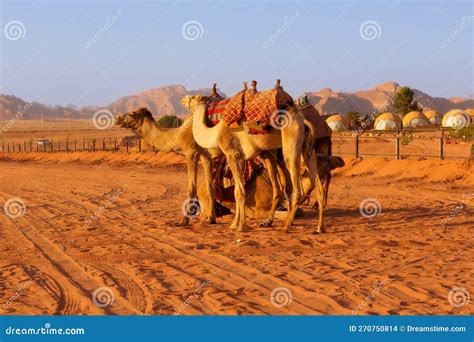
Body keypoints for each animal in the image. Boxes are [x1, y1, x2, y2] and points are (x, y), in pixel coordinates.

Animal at [180, 92, 324, 234]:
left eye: (192, 97)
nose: (183, 99)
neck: (216, 132)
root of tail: (303, 121)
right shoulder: (241, 158)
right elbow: (236, 191)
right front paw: (234, 224)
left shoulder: (232, 154)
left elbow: (239, 191)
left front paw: (240, 226)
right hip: (307, 149)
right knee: (315, 184)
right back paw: (318, 228)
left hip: (291, 143)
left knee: (297, 188)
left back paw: (286, 226)